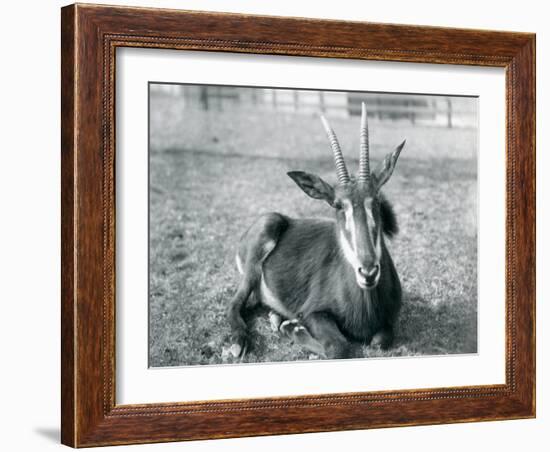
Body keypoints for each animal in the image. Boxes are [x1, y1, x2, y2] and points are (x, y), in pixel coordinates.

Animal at [227, 103, 406, 360]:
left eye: (377, 201)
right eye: (338, 205)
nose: (368, 272)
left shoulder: (389, 322)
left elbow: (380, 341)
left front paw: (288, 325)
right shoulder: (314, 313)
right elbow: (338, 347)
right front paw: (293, 329)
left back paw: (276, 317)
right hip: (256, 257)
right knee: (235, 304)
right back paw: (241, 341)